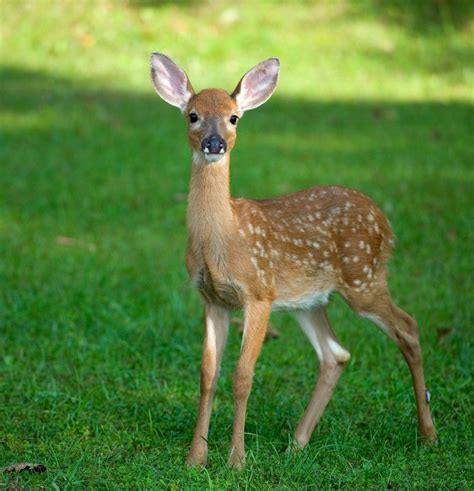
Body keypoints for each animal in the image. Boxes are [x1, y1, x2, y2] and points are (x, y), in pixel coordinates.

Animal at [150, 52, 436, 468]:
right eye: (193, 115)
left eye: (234, 117)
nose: (214, 143)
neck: (223, 238)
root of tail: (385, 221)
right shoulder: (212, 299)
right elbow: (207, 374)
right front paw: (195, 459)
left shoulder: (259, 291)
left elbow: (242, 375)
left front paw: (236, 461)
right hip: (309, 301)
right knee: (335, 354)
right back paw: (297, 443)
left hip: (363, 276)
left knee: (408, 326)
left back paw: (428, 434)